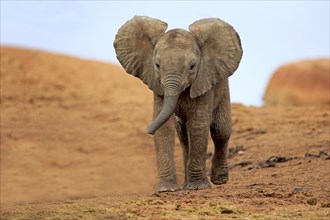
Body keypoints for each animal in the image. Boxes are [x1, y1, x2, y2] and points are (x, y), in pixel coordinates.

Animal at [114, 15, 242, 192]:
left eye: (192, 66)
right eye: (157, 65)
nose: (147, 131)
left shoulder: (203, 81)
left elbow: (198, 125)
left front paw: (198, 187)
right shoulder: (158, 86)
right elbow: (165, 128)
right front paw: (166, 190)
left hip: (222, 87)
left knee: (220, 130)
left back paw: (218, 181)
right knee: (183, 136)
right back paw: (187, 184)